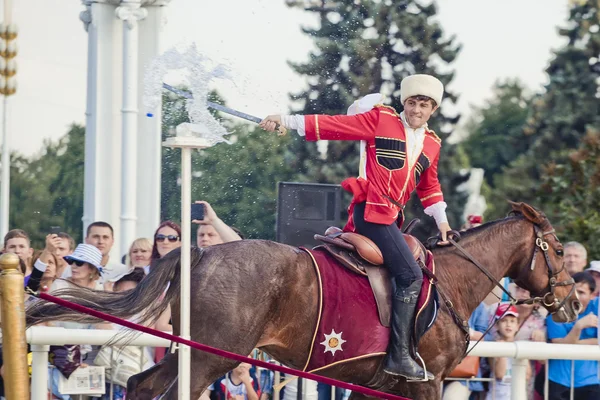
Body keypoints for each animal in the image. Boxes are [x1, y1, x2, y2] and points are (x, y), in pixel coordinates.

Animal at [25, 203, 580, 400]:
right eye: (555, 250)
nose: (573, 303)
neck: (450, 282)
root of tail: (204, 252)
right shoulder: (426, 382)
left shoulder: (377, 386)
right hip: (210, 358)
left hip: (193, 352)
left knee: (142, 386)